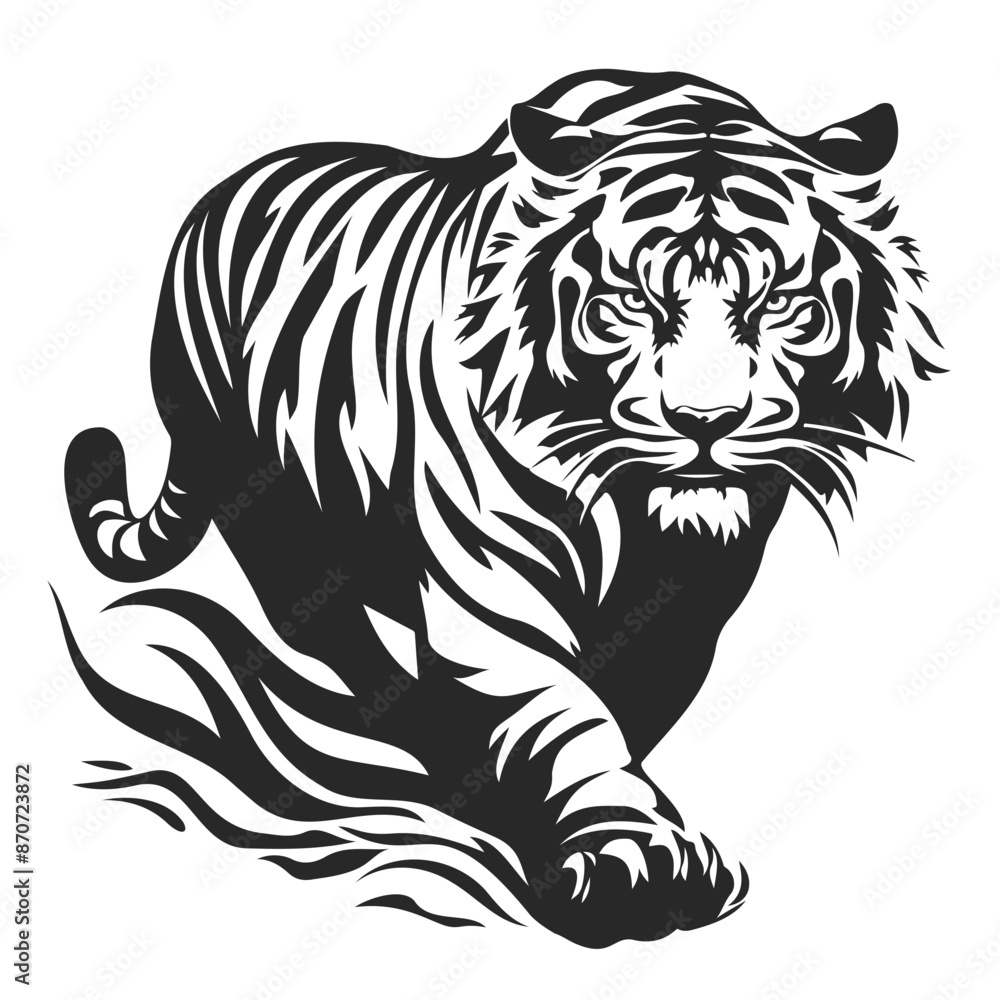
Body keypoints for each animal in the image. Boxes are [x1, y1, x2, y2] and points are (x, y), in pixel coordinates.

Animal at [60, 69, 942, 948]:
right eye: (634, 300)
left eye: (777, 302)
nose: (705, 424)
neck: (630, 507)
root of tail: (227, 189)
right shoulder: (492, 591)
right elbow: (568, 714)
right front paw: (627, 858)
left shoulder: (691, 599)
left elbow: (631, 705)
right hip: (269, 514)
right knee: (344, 644)